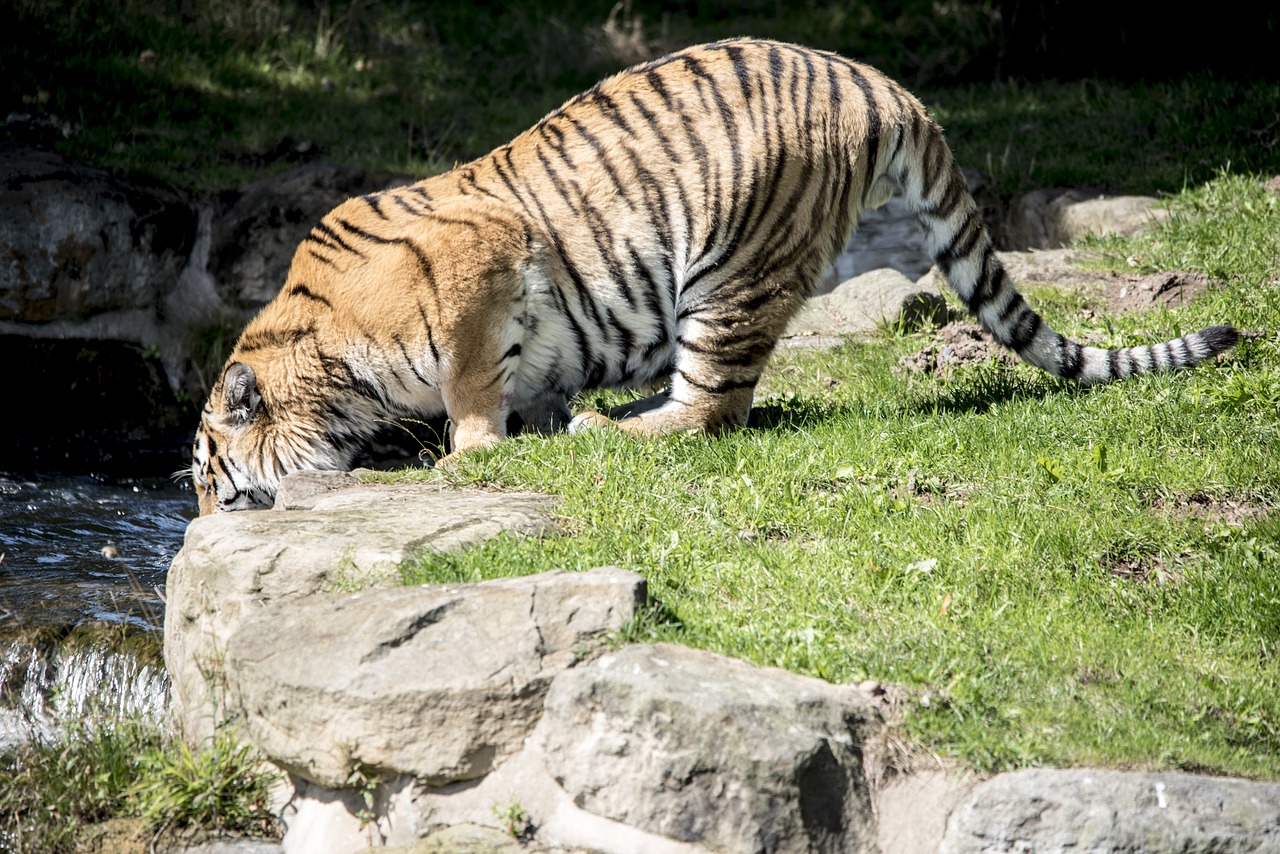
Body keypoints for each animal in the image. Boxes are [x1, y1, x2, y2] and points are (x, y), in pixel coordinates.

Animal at [189, 38, 1239, 514]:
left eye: (207, 477)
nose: (202, 520)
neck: (328, 365)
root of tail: (880, 81)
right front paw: (525, 426)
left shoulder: (478, 262)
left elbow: (473, 382)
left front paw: (470, 454)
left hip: (729, 268)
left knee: (711, 410)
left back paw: (608, 429)